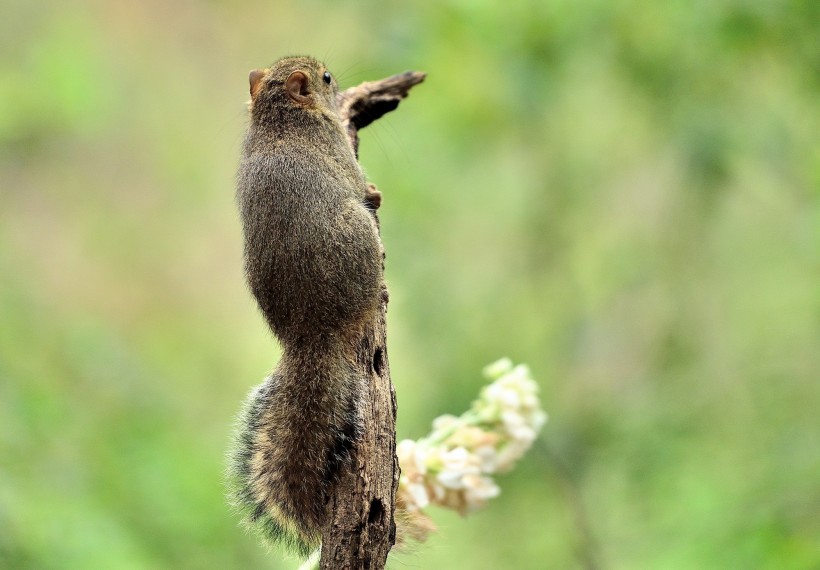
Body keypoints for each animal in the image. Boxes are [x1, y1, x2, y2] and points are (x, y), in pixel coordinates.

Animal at [227, 55, 384, 552]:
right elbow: (361, 183)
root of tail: (310, 334)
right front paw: (376, 190)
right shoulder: (337, 148)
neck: (280, 118)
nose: (341, 86)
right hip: (359, 237)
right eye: (327, 78)